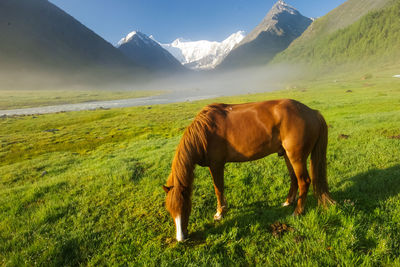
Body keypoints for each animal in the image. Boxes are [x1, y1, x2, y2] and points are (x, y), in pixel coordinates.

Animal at [162, 99, 334, 243]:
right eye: (170, 210)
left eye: (186, 208)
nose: (181, 239)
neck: (205, 132)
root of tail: (312, 112)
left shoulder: (216, 165)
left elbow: (218, 189)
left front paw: (220, 213)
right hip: (287, 155)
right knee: (294, 178)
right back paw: (287, 202)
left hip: (296, 157)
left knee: (304, 181)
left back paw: (297, 212)